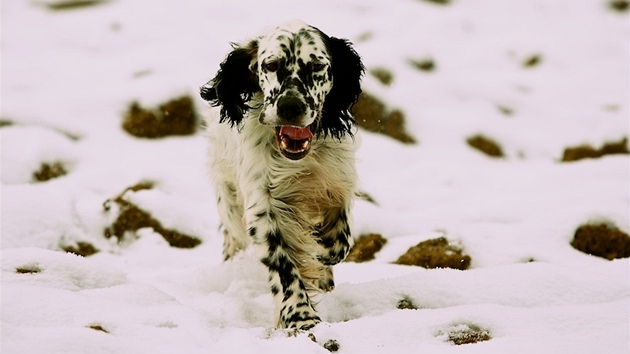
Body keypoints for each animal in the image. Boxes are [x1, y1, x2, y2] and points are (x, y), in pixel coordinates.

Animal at [198, 20, 366, 330]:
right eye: (271, 65)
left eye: (317, 66)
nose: (290, 107)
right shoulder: (262, 207)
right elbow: (283, 264)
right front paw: (300, 316)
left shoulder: (337, 181)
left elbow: (337, 244)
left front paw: (319, 259)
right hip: (228, 199)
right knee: (232, 236)